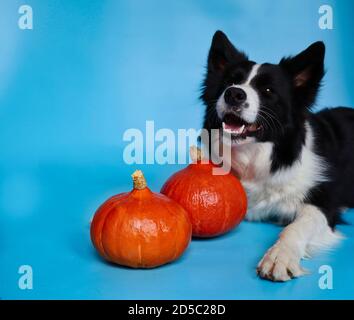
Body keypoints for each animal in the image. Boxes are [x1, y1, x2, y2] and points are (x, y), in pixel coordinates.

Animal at [202, 30, 354, 280]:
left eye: (268, 91)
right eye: (229, 82)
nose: (233, 93)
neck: (259, 158)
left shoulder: (322, 203)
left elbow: (295, 227)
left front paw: (279, 256)